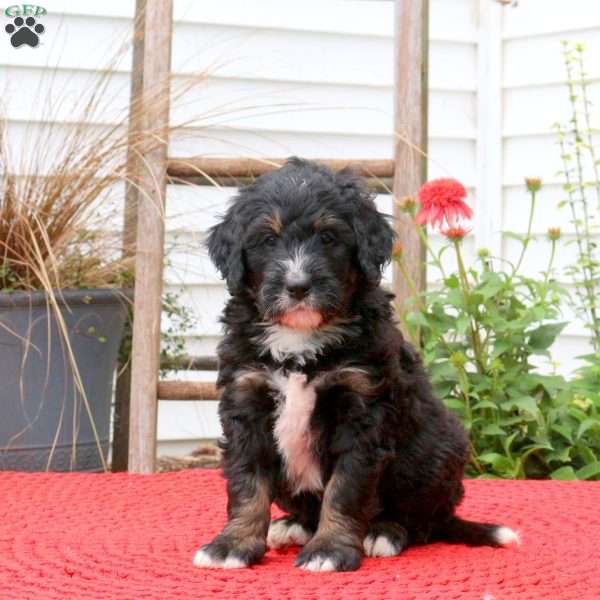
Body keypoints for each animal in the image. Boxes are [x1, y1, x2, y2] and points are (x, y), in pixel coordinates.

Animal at [193, 156, 520, 572]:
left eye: (328, 238)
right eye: (268, 240)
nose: (298, 287)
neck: (301, 339)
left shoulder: (362, 407)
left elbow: (345, 487)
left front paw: (330, 549)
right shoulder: (246, 398)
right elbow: (247, 482)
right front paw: (232, 544)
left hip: (436, 452)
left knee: (425, 521)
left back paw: (384, 532)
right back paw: (293, 525)